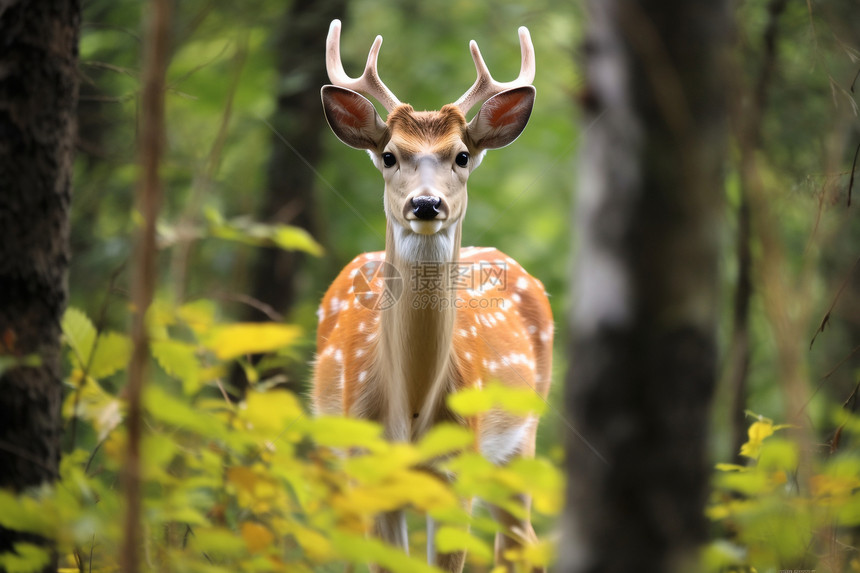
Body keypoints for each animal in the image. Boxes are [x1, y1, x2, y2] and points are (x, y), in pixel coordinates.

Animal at [312, 20, 556, 572]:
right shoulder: (371, 471)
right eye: (389, 156)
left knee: (522, 544)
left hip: (523, 437)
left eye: (461, 156)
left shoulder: (457, 472)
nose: (426, 203)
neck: (412, 415)